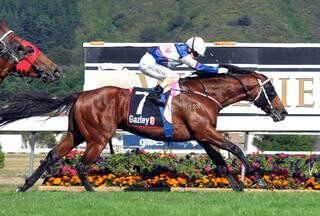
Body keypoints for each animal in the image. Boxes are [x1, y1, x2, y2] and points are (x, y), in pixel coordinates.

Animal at [0, 64, 288, 192]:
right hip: (98, 137)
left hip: (76, 133)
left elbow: (221, 162)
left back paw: (24, 186)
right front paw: (259, 179)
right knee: (81, 165)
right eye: (272, 90)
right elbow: (236, 150)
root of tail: (81, 95)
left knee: (51, 156)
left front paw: (237, 187)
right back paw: (92, 192)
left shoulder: (204, 136)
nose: (283, 113)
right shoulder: (206, 132)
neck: (204, 95)